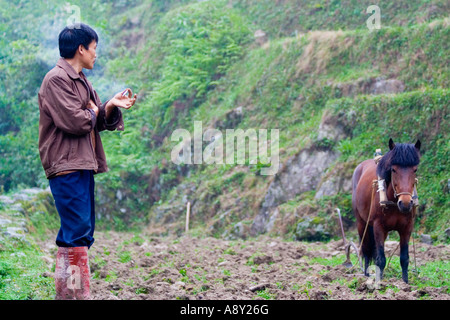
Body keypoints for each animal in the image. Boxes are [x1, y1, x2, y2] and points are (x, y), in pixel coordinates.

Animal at [354, 138, 420, 282]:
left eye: (415, 170)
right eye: (393, 170)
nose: (405, 203)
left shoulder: (407, 227)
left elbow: (404, 259)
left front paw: (405, 283)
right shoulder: (378, 226)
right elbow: (381, 259)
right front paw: (379, 282)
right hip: (362, 223)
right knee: (366, 250)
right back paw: (366, 275)